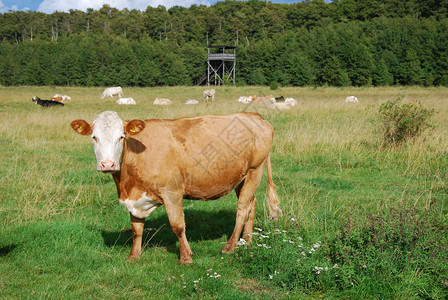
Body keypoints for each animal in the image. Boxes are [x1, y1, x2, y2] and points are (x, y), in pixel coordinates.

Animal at [71, 111, 280, 264]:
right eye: (94, 137)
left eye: (121, 137)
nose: (107, 164)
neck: (126, 183)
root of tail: (253, 115)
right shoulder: (135, 199)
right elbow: (137, 228)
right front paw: (133, 256)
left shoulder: (172, 192)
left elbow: (178, 226)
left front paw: (186, 257)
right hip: (240, 177)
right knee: (252, 204)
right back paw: (247, 241)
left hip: (255, 170)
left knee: (242, 209)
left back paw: (230, 247)